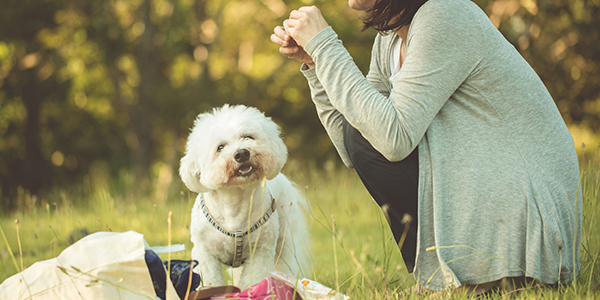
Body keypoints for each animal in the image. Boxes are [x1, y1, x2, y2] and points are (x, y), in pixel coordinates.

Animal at [179, 104, 312, 290]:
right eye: (220, 147)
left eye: (248, 137)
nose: (241, 153)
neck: (234, 202)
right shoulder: (204, 253)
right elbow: (211, 281)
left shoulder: (261, 250)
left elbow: (253, 279)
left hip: (285, 238)